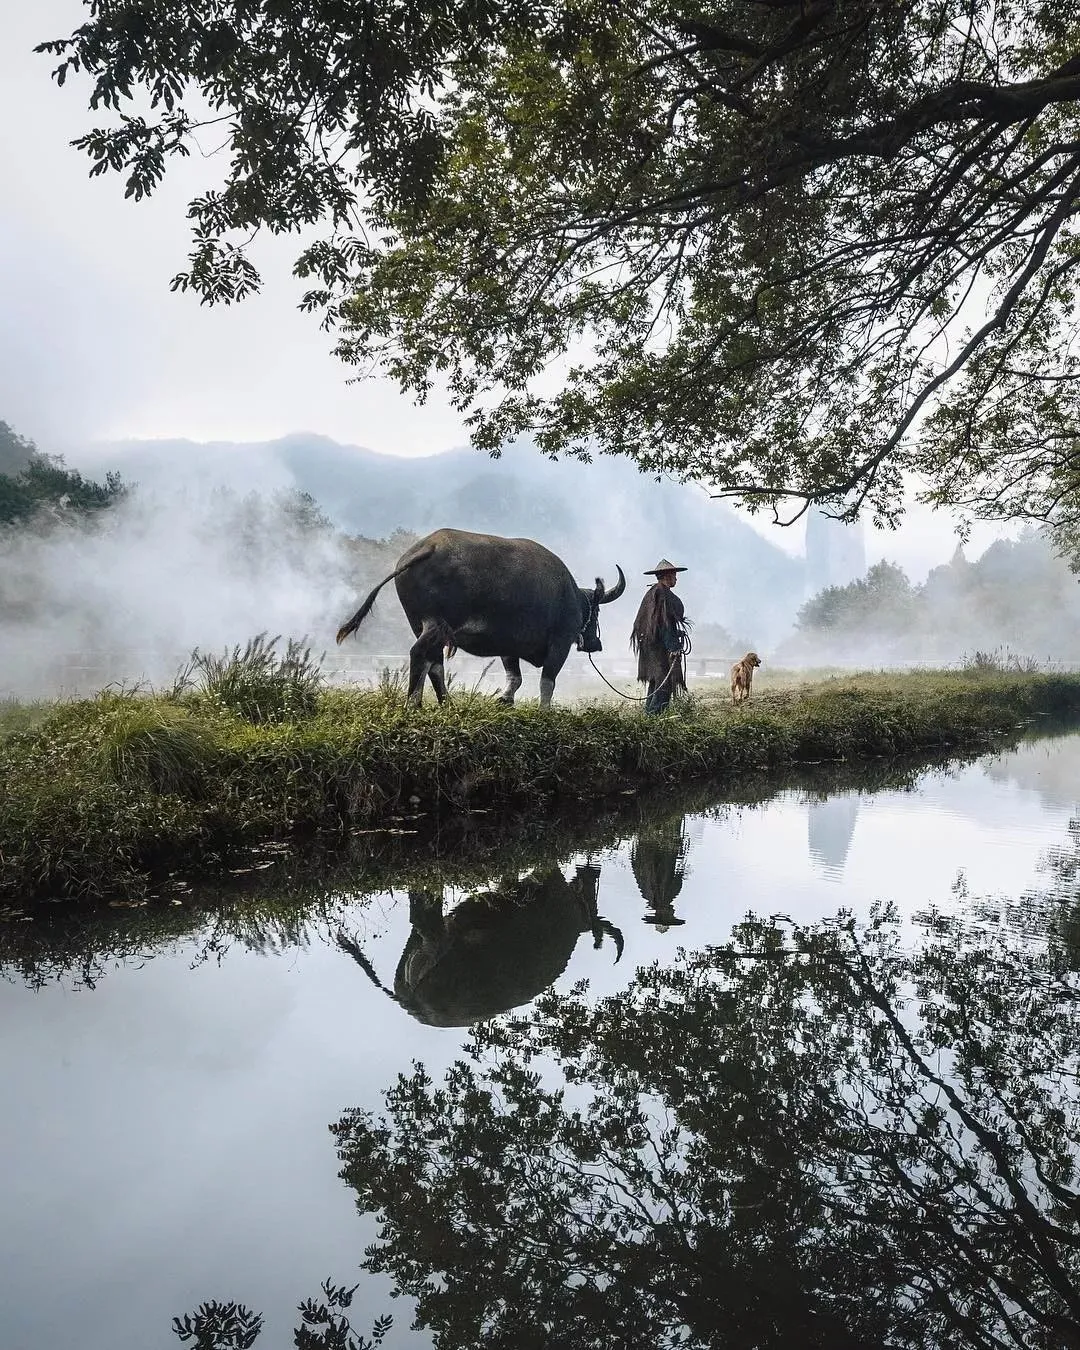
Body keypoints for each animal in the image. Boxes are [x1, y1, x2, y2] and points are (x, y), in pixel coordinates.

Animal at [334, 526, 623, 707]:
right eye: (596, 610)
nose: (596, 644)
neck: (569, 595)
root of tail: (428, 547)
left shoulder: (509, 647)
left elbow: (515, 677)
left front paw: (504, 700)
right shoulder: (560, 642)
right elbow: (547, 681)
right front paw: (545, 710)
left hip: (422, 625)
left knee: (434, 662)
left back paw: (446, 703)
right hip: (436, 624)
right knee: (420, 655)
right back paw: (414, 703)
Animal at [337, 864, 623, 1020]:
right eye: (590, 906)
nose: (592, 873)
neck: (573, 911)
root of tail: (413, 1005)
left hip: (413, 949)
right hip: (437, 941)